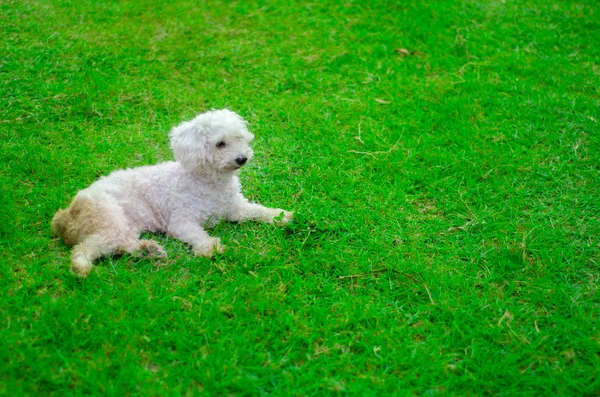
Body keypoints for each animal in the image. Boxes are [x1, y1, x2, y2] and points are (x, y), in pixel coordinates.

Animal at [52, 108, 292, 276]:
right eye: (220, 144)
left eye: (239, 138)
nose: (242, 158)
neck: (209, 182)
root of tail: (66, 216)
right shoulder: (180, 221)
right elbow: (196, 233)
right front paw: (209, 246)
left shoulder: (235, 207)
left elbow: (256, 210)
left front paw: (278, 216)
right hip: (108, 219)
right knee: (85, 248)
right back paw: (82, 267)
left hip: (124, 226)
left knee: (124, 245)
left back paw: (149, 251)